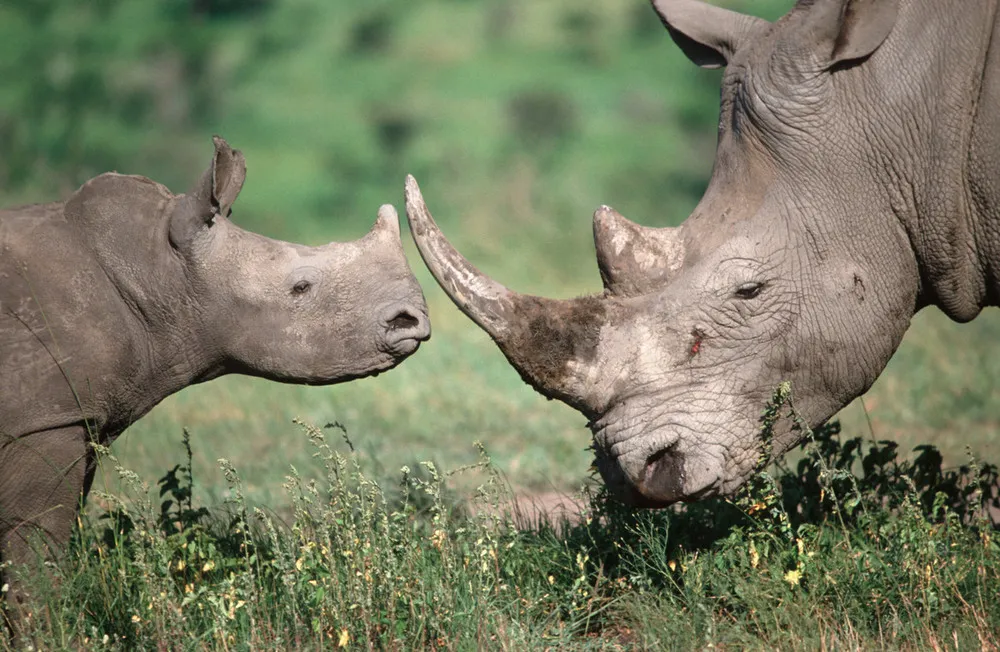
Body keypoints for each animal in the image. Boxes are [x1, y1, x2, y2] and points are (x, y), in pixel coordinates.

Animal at [0, 136, 429, 604]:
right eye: (301, 288)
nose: (410, 320)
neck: (160, 272)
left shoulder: (79, 417)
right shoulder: (47, 419)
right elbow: (33, 557)